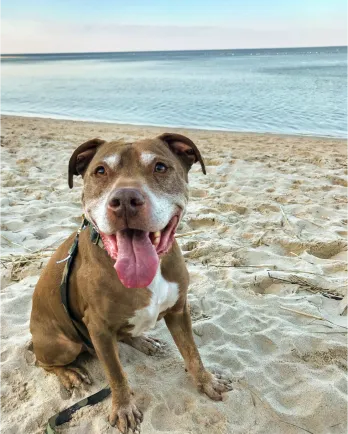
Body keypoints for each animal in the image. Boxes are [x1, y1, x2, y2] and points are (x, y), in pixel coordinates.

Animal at [29, 134, 231, 432]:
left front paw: (206, 381)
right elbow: (116, 375)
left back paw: (144, 341)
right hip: (64, 344)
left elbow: (192, 352)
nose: (125, 199)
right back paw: (69, 375)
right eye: (100, 171)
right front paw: (123, 409)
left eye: (160, 167)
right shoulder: (98, 330)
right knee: (42, 362)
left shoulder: (179, 310)